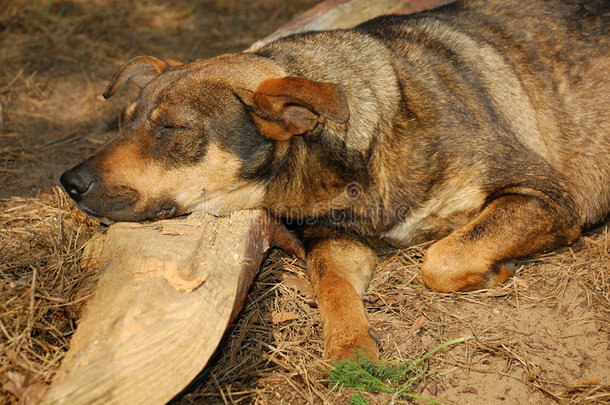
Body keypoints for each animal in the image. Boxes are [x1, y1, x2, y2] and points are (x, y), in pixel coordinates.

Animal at [63, 0, 608, 360]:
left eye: (172, 130)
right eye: (123, 122)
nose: (69, 181)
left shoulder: (547, 196)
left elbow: (442, 257)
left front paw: (492, 269)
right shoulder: (336, 240)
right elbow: (332, 288)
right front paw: (351, 349)